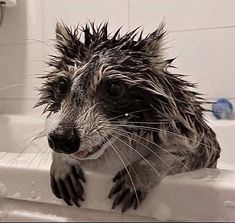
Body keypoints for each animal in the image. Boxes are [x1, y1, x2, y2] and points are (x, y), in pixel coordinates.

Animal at [36, 22, 220, 213]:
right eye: (62, 85)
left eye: (114, 88)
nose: (62, 138)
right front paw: (63, 161)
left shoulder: (190, 126)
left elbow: (195, 151)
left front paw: (140, 173)